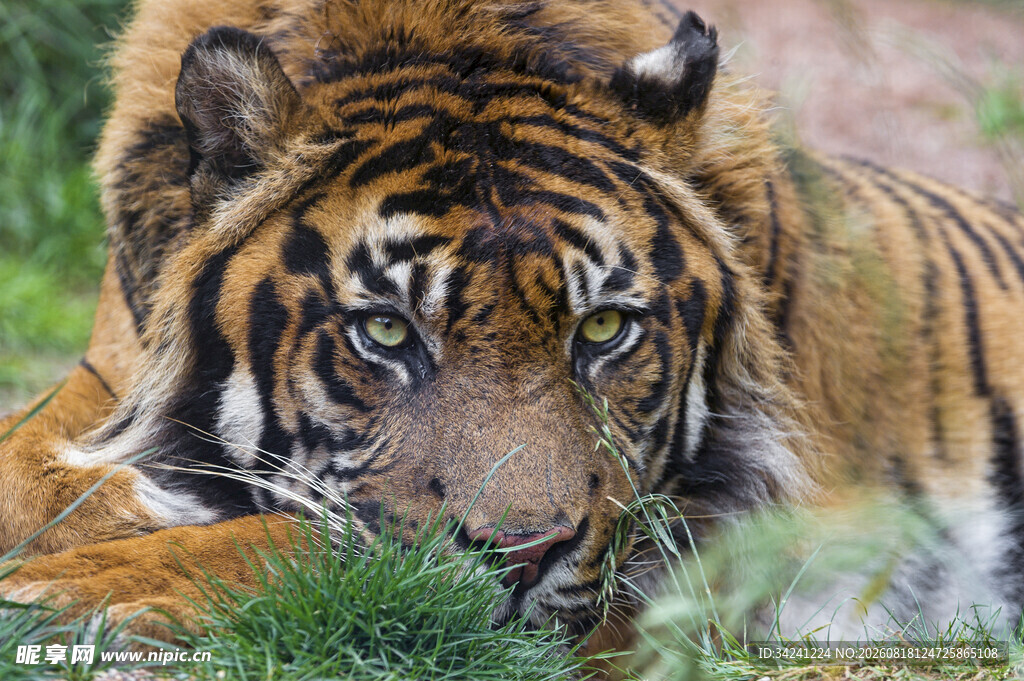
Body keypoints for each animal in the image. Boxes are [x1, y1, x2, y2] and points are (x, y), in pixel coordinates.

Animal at [2, 0, 1023, 658]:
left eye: (603, 328)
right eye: (386, 332)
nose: (525, 558)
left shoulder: (686, 551)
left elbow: (326, 544)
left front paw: (64, 587)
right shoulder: (108, 376)